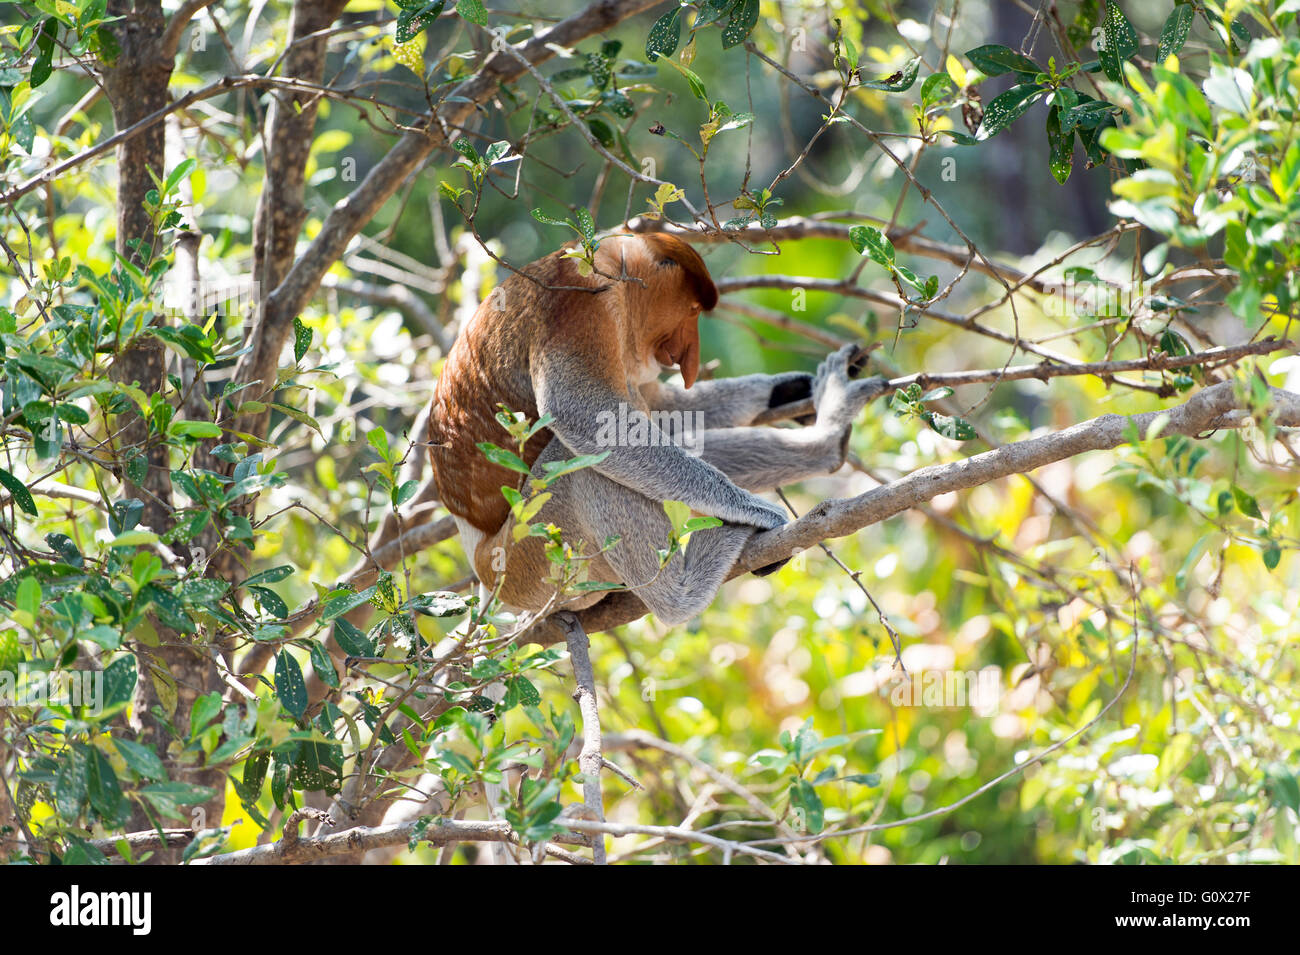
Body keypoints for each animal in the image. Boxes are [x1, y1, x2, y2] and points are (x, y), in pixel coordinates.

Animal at [431, 232, 889, 628]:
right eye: (691, 310)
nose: (689, 358)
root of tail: (482, 567)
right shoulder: (580, 302)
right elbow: (583, 415)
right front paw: (758, 511)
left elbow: (661, 406)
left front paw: (792, 390)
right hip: (532, 553)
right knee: (582, 464)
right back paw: (684, 591)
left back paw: (826, 440)